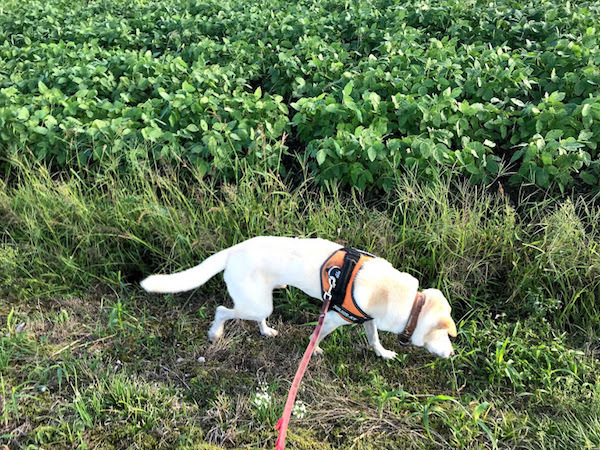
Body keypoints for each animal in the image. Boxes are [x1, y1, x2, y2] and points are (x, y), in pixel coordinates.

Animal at [141, 236, 458, 358]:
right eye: (445, 335)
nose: (452, 354)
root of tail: (233, 250)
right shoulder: (332, 318)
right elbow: (316, 337)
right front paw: (313, 351)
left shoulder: (367, 319)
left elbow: (374, 338)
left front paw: (382, 353)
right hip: (255, 303)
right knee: (222, 310)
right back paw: (215, 333)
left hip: (262, 301)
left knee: (258, 319)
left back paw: (267, 331)